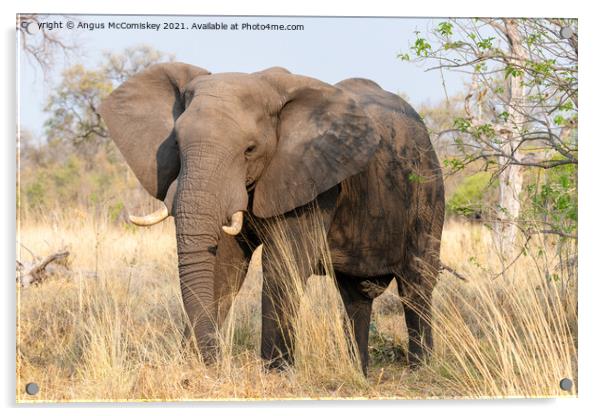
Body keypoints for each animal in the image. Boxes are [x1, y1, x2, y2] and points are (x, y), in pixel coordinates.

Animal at [98, 61, 442, 374]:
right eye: (177, 145)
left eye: (249, 150)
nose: (217, 362)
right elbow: (223, 265)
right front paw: (195, 365)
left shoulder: (311, 179)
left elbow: (283, 264)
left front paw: (277, 373)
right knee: (355, 295)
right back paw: (358, 372)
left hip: (427, 190)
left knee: (416, 282)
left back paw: (421, 370)